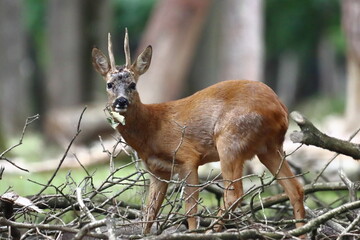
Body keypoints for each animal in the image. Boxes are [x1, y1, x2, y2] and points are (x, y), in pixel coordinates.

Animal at [91, 30, 306, 234]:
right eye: (109, 84)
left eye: (133, 84)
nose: (121, 101)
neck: (152, 129)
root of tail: (281, 108)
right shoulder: (157, 171)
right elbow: (149, 212)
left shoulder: (187, 157)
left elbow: (190, 209)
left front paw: (192, 230)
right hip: (268, 148)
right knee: (295, 189)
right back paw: (300, 230)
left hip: (230, 141)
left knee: (233, 194)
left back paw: (210, 231)